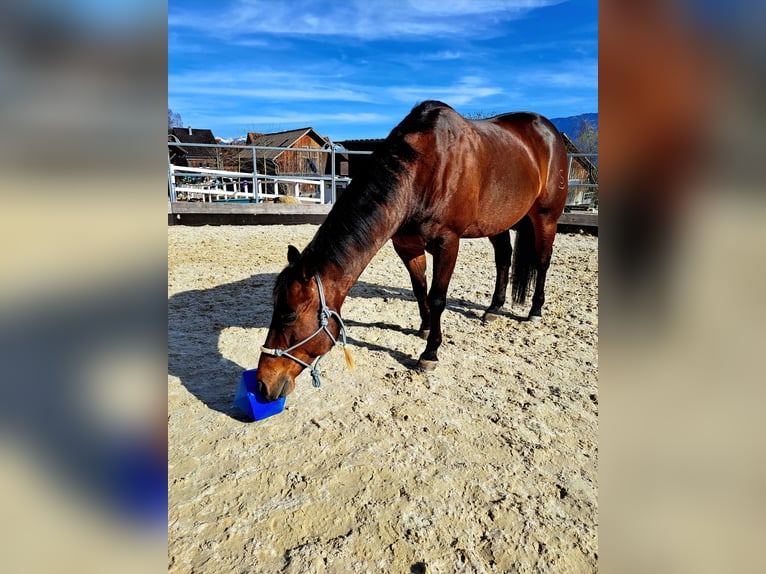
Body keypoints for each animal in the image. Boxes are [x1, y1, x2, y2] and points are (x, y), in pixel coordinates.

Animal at [258, 101, 568, 402]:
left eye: (289, 316)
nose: (263, 384)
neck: (424, 169)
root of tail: (550, 131)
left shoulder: (447, 243)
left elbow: (438, 297)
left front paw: (430, 353)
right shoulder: (407, 246)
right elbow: (421, 291)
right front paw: (426, 328)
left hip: (545, 217)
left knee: (542, 261)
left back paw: (535, 310)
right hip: (496, 221)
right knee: (503, 258)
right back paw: (493, 308)